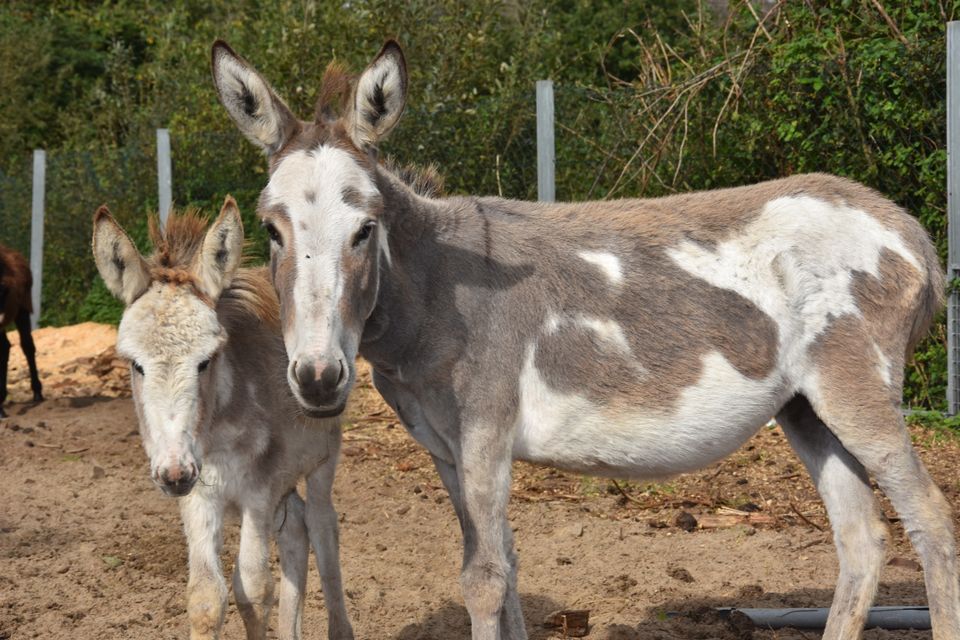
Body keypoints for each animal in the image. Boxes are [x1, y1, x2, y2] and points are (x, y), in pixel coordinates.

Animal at [93, 199, 352, 640]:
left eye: (206, 361)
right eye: (135, 365)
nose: (173, 474)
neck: (215, 431)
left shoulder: (258, 492)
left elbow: (252, 588)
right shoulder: (200, 496)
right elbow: (205, 598)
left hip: (322, 459)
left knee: (322, 528)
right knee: (296, 532)